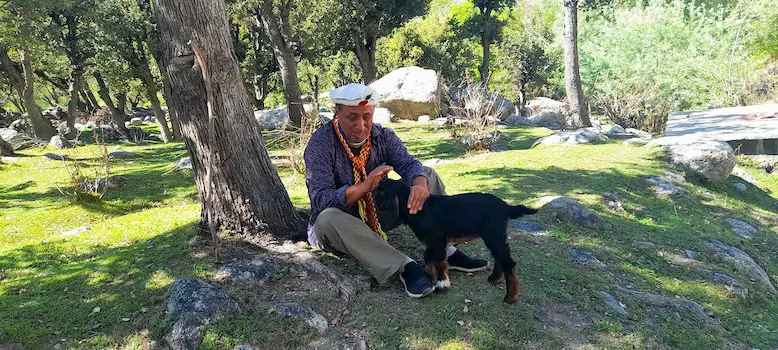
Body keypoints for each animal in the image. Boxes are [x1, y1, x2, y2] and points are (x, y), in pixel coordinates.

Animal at [378, 179, 536, 302]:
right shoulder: (432, 242)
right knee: (500, 259)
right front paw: (430, 276)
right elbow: (428, 257)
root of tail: (506, 207)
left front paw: (442, 285)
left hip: (494, 237)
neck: (421, 210)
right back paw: (494, 278)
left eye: (380, 190)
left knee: (509, 263)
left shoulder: (438, 240)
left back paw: (511, 297)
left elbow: (439, 262)